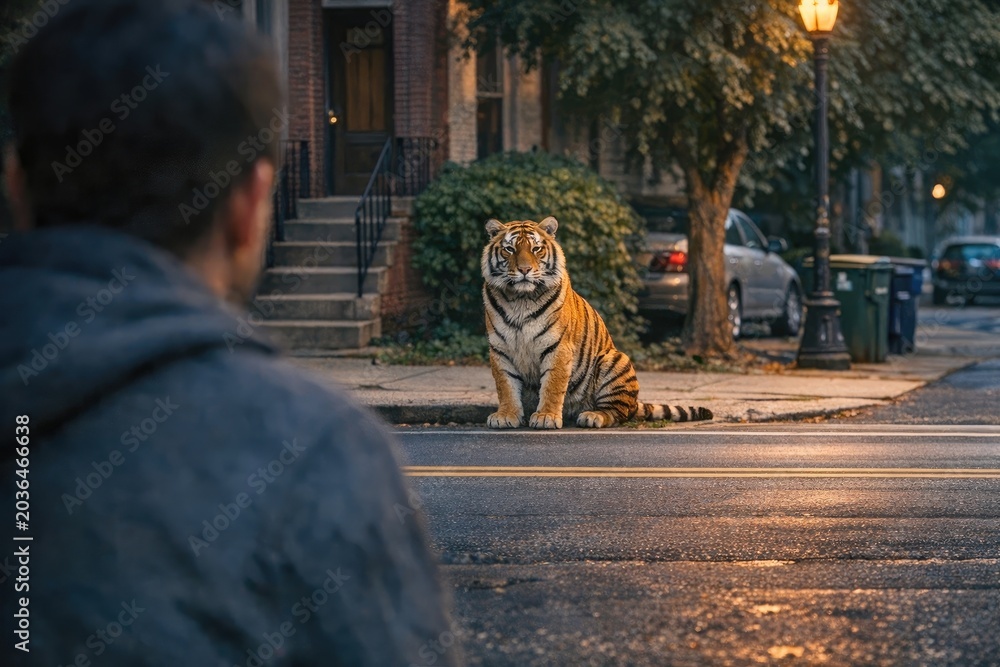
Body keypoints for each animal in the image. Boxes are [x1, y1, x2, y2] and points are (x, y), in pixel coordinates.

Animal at [481, 216, 714, 429]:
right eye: (509, 249)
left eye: (536, 249)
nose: (524, 270)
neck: (521, 299)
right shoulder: (500, 349)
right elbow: (506, 386)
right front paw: (506, 415)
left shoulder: (558, 347)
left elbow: (552, 385)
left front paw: (546, 416)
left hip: (614, 360)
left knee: (618, 412)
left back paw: (593, 416)